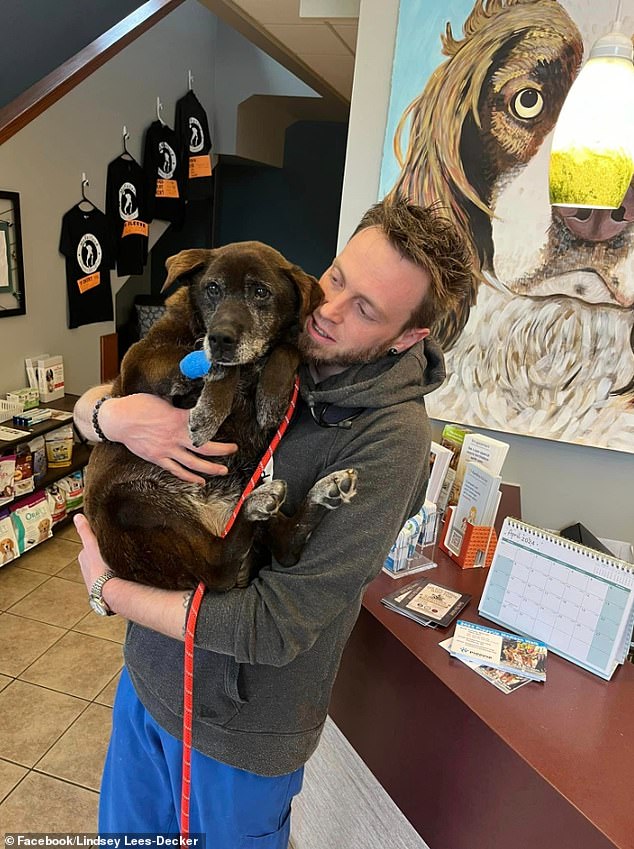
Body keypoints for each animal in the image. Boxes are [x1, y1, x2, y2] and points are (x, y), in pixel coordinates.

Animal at [83, 240, 358, 588]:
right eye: (212, 288)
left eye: (260, 292)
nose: (221, 338)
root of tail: (215, 512)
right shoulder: (139, 365)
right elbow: (212, 364)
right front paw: (210, 410)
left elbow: (289, 347)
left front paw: (271, 395)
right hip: (127, 502)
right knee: (218, 568)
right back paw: (259, 505)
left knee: (284, 549)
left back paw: (322, 493)